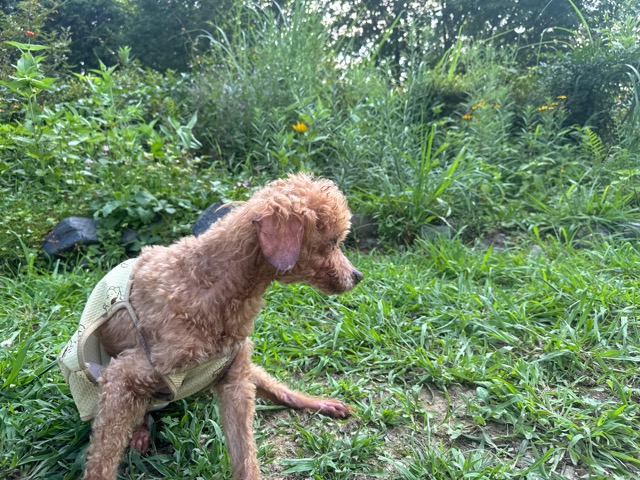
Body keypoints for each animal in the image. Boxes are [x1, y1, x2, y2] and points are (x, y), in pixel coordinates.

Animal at [60, 173, 363, 479]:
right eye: (332, 241)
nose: (357, 276)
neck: (212, 281)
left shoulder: (236, 380)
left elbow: (245, 456)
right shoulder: (123, 376)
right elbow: (102, 461)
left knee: (281, 390)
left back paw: (321, 403)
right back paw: (141, 430)